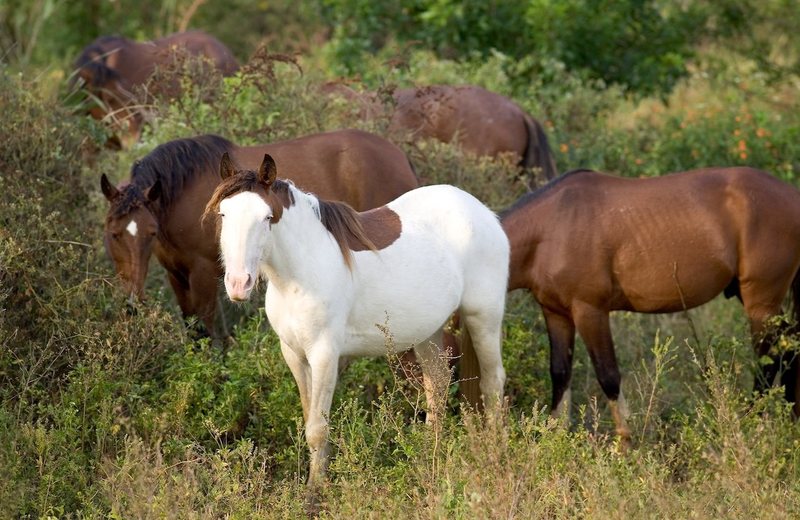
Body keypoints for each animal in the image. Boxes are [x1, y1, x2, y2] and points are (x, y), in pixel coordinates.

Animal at [100, 128, 418, 336]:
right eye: (113, 234)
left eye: (150, 233)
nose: (133, 302)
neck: (181, 193)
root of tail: (401, 157)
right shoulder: (176, 275)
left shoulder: (203, 274)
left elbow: (207, 329)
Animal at [206, 154, 506, 492]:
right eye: (223, 213)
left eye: (267, 218)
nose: (238, 284)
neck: (301, 273)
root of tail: (483, 213)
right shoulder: (294, 355)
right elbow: (309, 420)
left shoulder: (324, 355)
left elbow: (318, 429)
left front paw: (315, 492)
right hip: (428, 331)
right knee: (438, 383)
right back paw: (430, 454)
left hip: (484, 317)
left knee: (492, 382)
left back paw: (493, 455)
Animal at [504, 168, 800, 442]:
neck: (552, 227)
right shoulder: (556, 313)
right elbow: (560, 374)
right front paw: (556, 439)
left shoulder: (590, 311)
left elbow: (608, 376)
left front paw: (626, 445)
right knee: (789, 346)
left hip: (761, 303)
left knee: (768, 360)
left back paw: (753, 425)